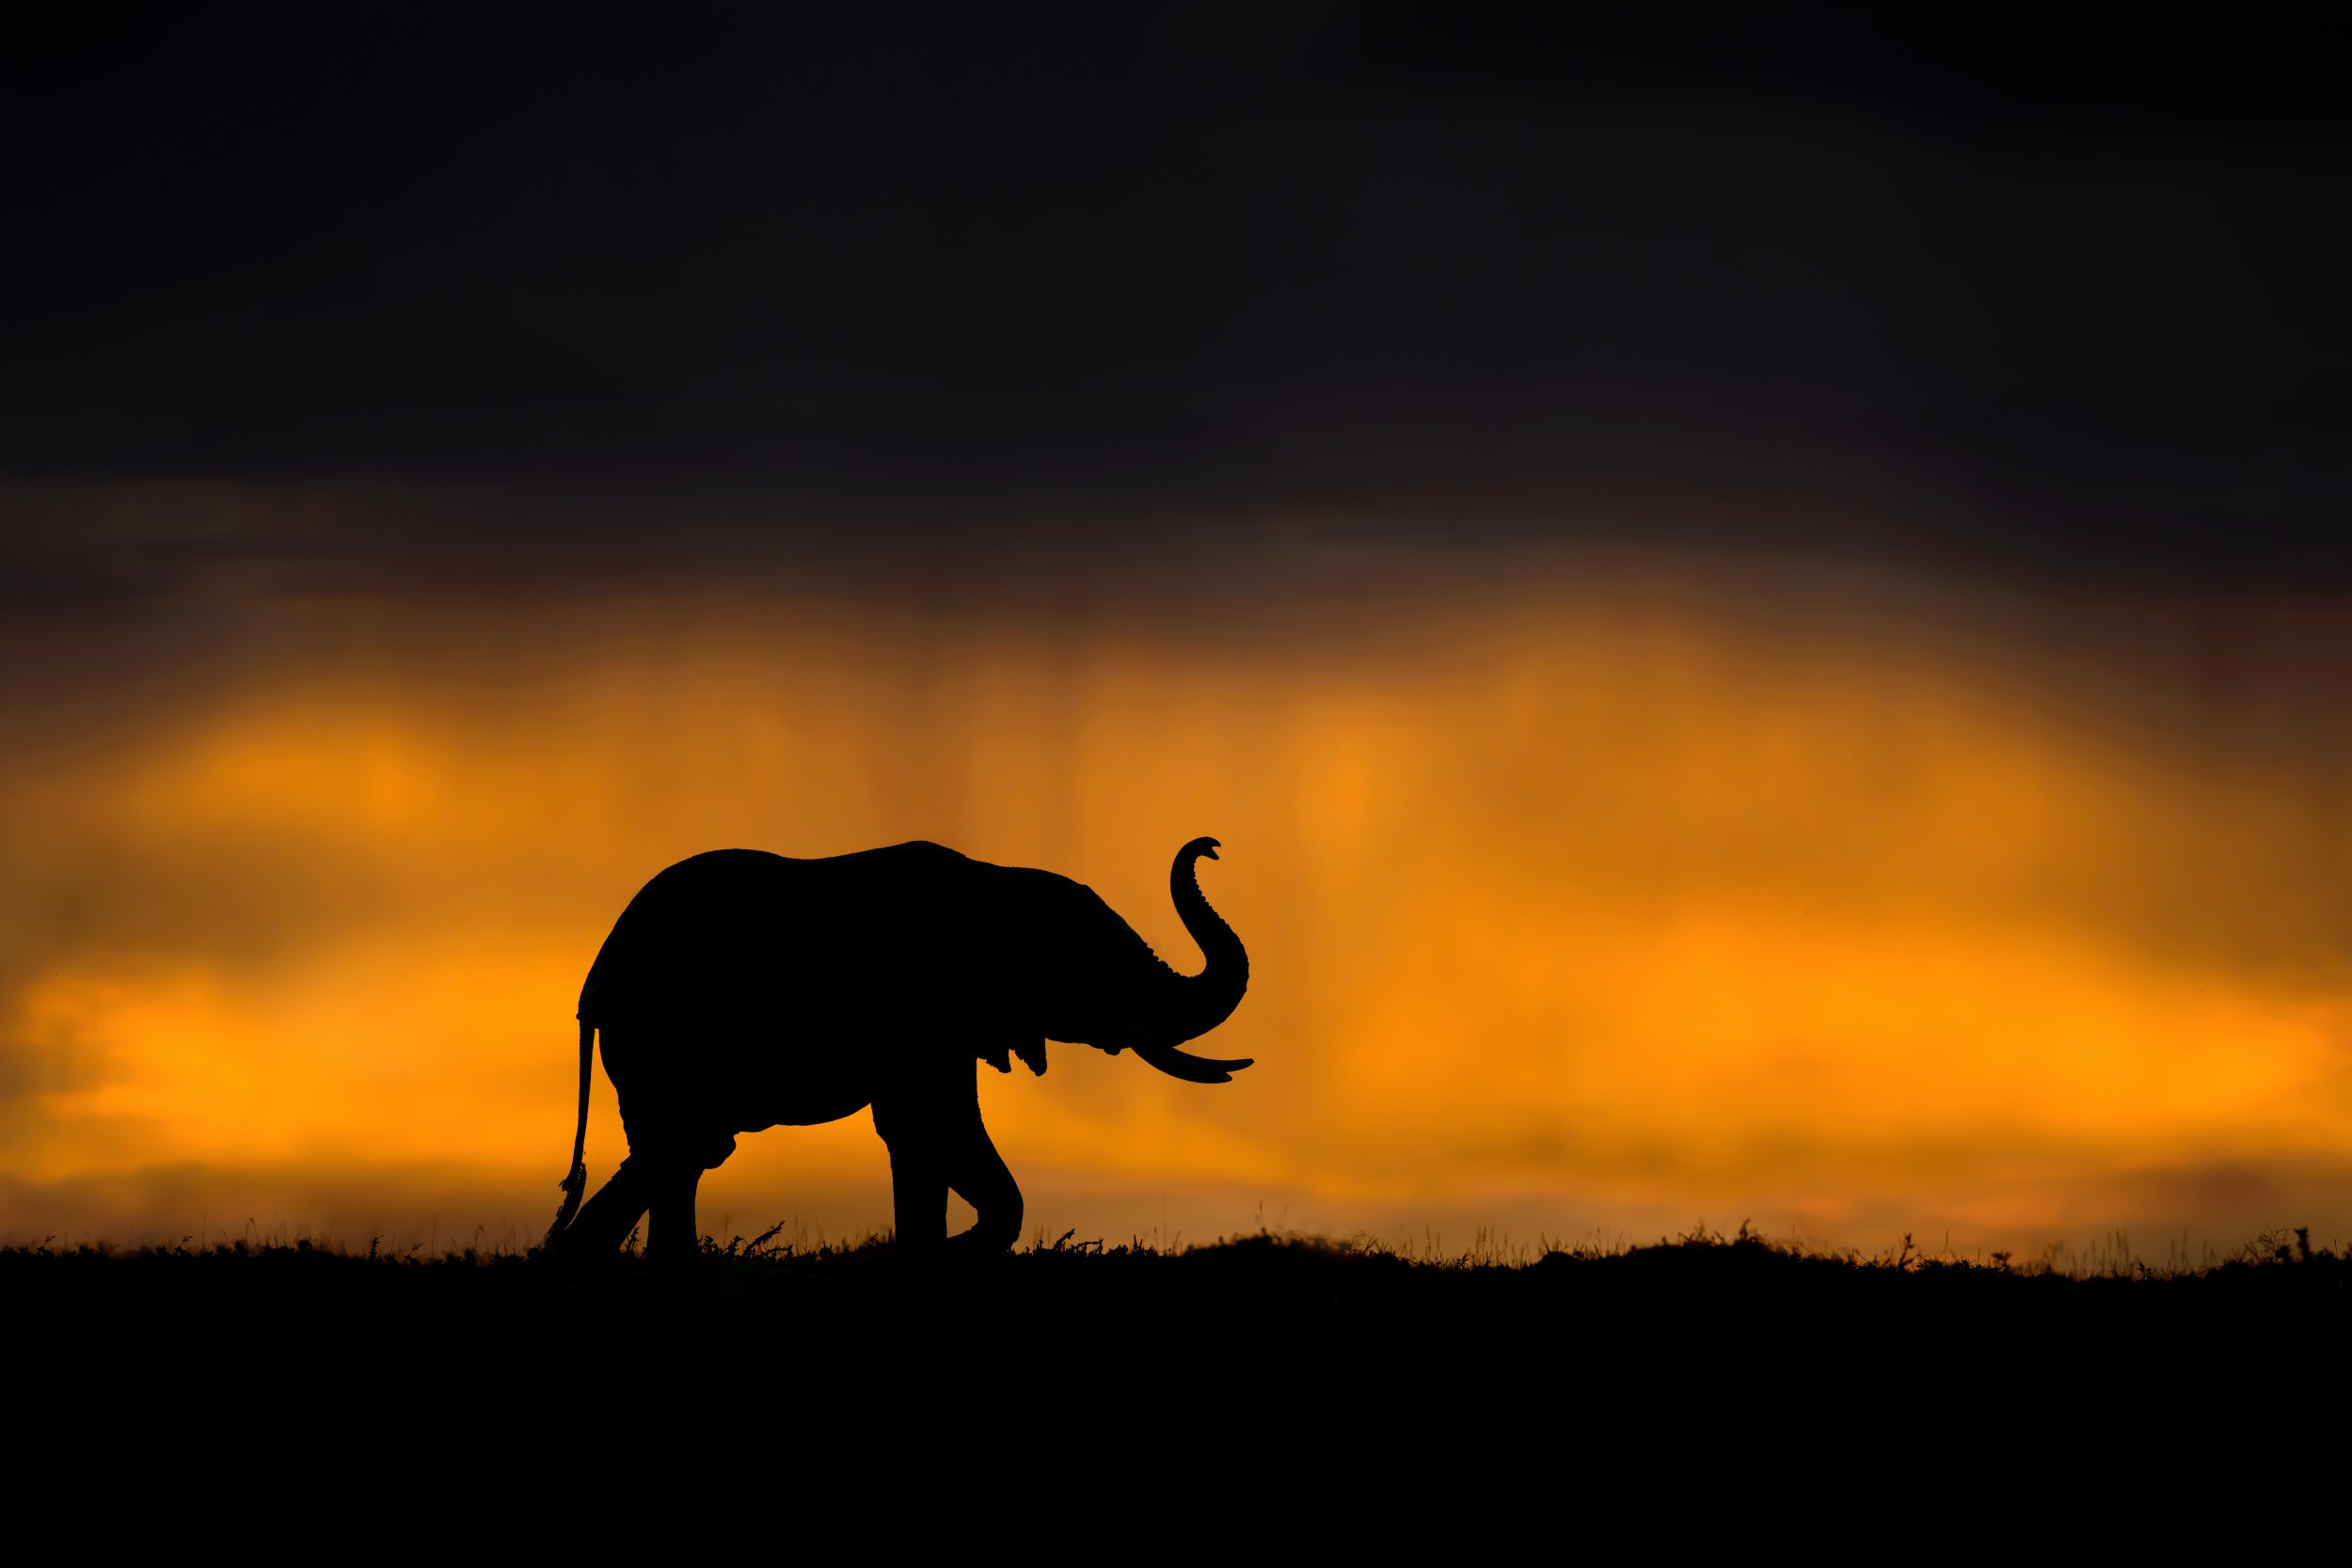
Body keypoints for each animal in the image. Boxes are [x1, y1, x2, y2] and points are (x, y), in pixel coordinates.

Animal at [545, 836, 1250, 1262]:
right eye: (1089, 965)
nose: (1211, 848)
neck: (992, 884)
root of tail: (593, 982)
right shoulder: (922, 1014)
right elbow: (936, 1125)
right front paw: (925, 1252)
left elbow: (919, 1133)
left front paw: (922, 1252)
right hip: (660, 1039)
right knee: (680, 1149)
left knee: (678, 1154)